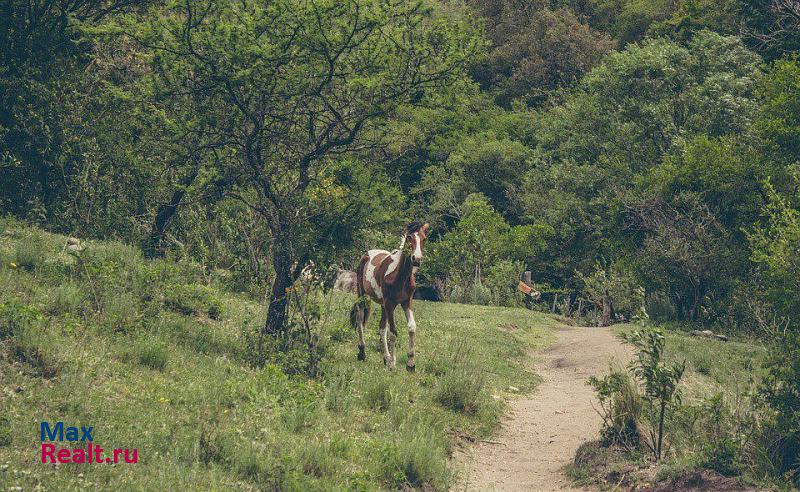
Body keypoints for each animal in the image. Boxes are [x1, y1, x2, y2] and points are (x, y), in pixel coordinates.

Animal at [352, 221, 428, 370]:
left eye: (423, 239)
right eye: (409, 237)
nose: (416, 259)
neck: (400, 276)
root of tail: (367, 254)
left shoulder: (406, 302)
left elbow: (411, 327)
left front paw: (410, 363)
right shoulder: (390, 303)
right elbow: (393, 332)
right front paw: (393, 364)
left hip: (383, 305)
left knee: (382, 328)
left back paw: (386, 357)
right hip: (363, 295)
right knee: (360, 317)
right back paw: (362, 352)